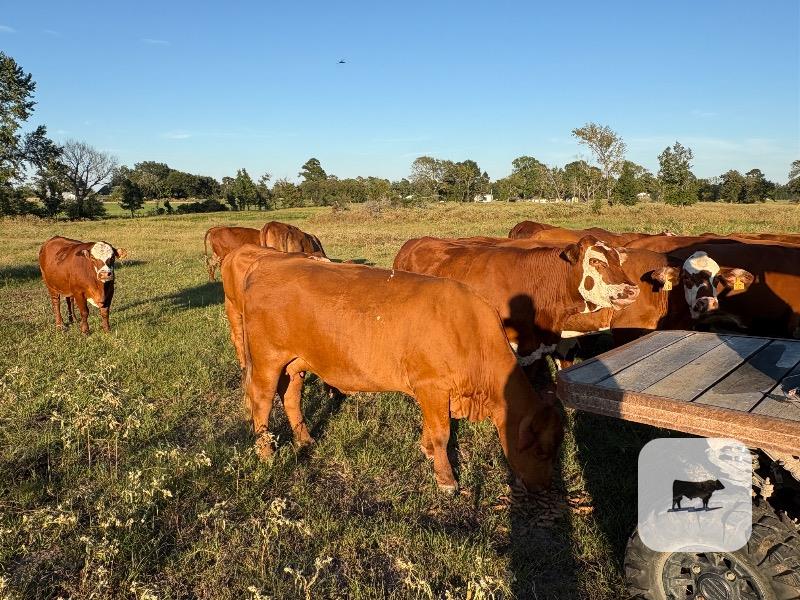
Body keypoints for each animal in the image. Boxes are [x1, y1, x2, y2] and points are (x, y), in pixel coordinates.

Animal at [241, 254, 564, 493]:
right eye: (542, 451)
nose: (544, 487)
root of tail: (269, 261)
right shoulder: (432, 386)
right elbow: (442, 432)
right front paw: (446, 480)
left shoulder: (432, 392)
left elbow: (432, 428)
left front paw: (427, 451)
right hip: (268, 360)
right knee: (261, 401)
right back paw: (265, 453)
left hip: (296, 364)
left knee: (291, 397)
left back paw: (305, 440)